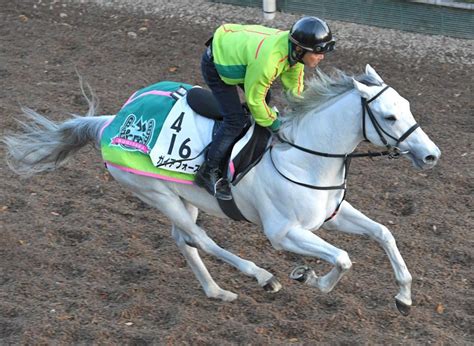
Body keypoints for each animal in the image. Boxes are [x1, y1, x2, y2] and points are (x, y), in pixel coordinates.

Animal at [3, 65, 440, 316]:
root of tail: (113, 122)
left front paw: (403, 296)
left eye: (408, 108)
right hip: (155, 194)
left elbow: (383, 233)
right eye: (388, 116)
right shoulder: (283, 233)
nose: (431, 155)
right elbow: (344, 258)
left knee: (184, 239)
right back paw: (262, 277)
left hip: (184, 199)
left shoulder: (330, 216)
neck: (304, 156)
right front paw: (310, 278)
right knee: (201, 239)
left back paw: (217, 292)